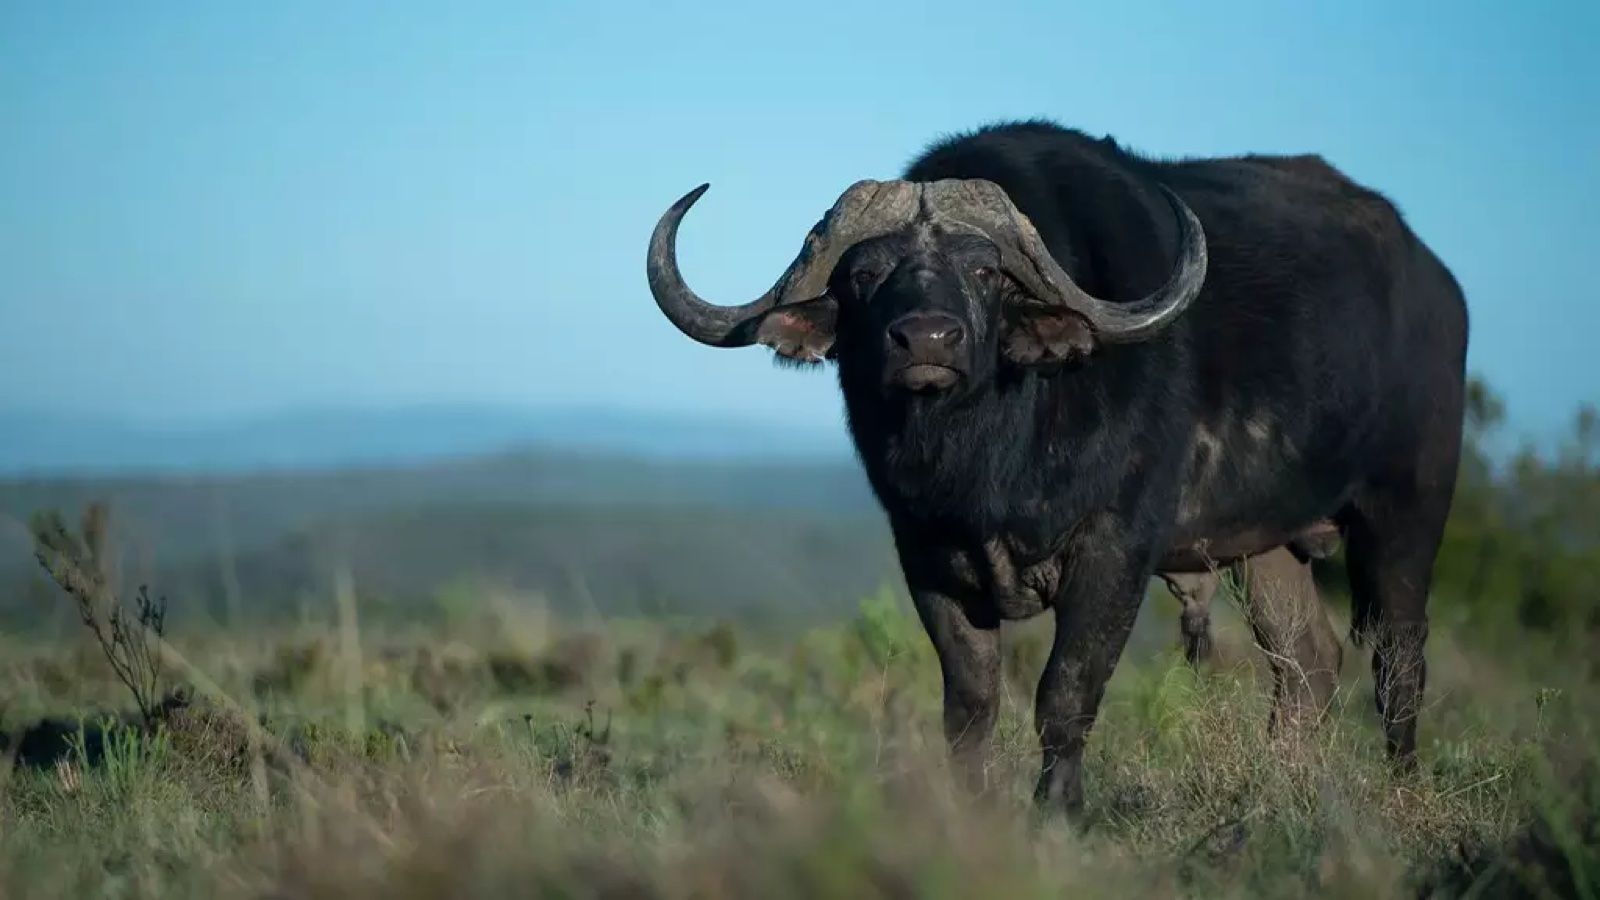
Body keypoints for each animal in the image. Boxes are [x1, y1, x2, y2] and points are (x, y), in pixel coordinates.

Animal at [644, 119, 1467, 816]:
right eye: (865, 274)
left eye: (985, 271)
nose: (926, 340)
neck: (991, 461)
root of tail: (1438, 284)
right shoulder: (928, 557)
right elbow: (971, 701)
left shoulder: (1115, 548)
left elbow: (1066, 692)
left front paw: (1058, 814)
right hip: (1263, 547)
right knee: (1307, 663)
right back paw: (1279, 783)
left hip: (1406, 511)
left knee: (1399, 659)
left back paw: (1401, 787)